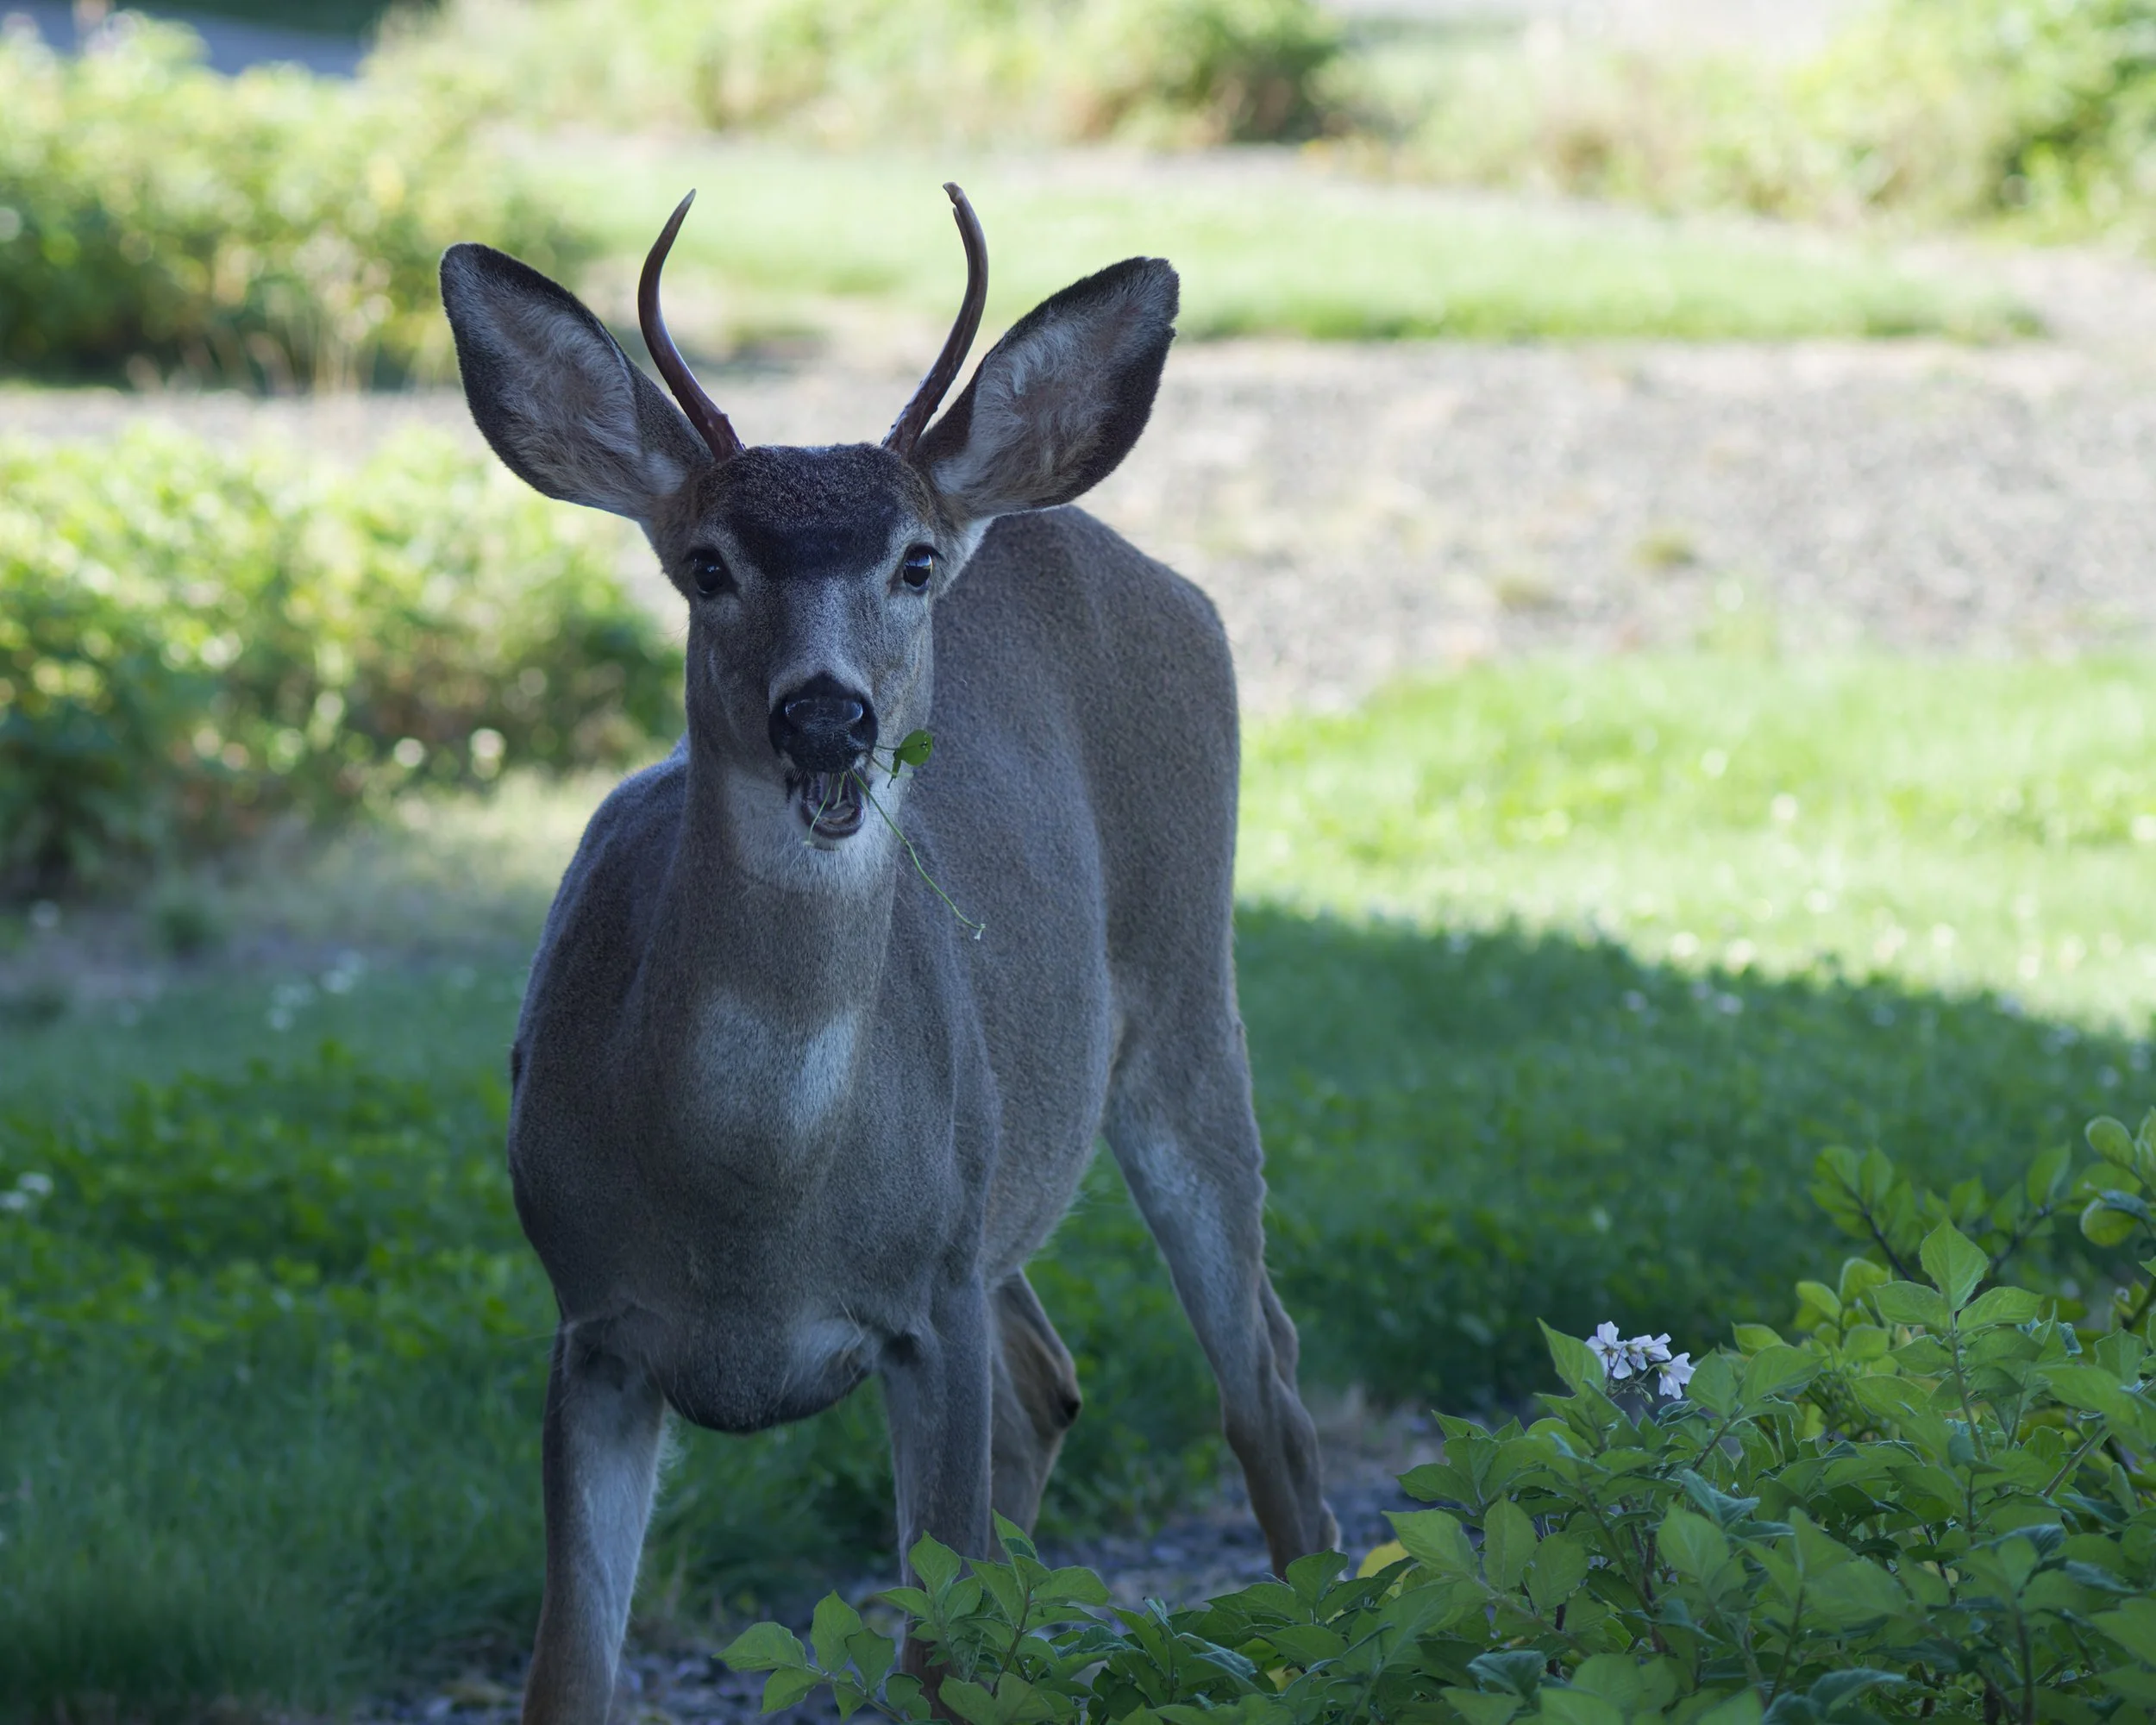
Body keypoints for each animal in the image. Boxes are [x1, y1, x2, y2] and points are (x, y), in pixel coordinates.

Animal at [437, 184, 1337, 1725]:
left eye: (911, 565)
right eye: (708, 565)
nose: (826, 718)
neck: (749, 1211)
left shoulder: (932, 1309)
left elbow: (937, 1656)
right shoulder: (591, 1325)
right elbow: (569, 1675)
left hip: (1185, 1010)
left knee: (1261, 1376)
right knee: (1055, 1380)